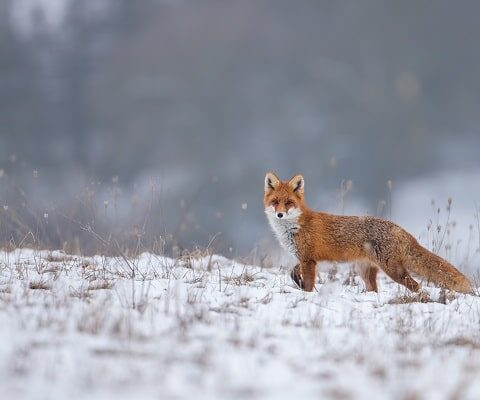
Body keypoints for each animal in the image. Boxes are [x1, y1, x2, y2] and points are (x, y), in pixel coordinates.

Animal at [266, 172, 472, 294]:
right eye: (275, 202)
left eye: (288, 202)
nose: (280, 214)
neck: (294, 227)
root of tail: (400, 229)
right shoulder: (305, 258)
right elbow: (293, 271)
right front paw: (297, 280)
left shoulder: (309, 260)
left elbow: (308, 284)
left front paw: (306, 292)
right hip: (366, 271)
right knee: (375, 289)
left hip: (393, 271)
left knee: (417, 285)